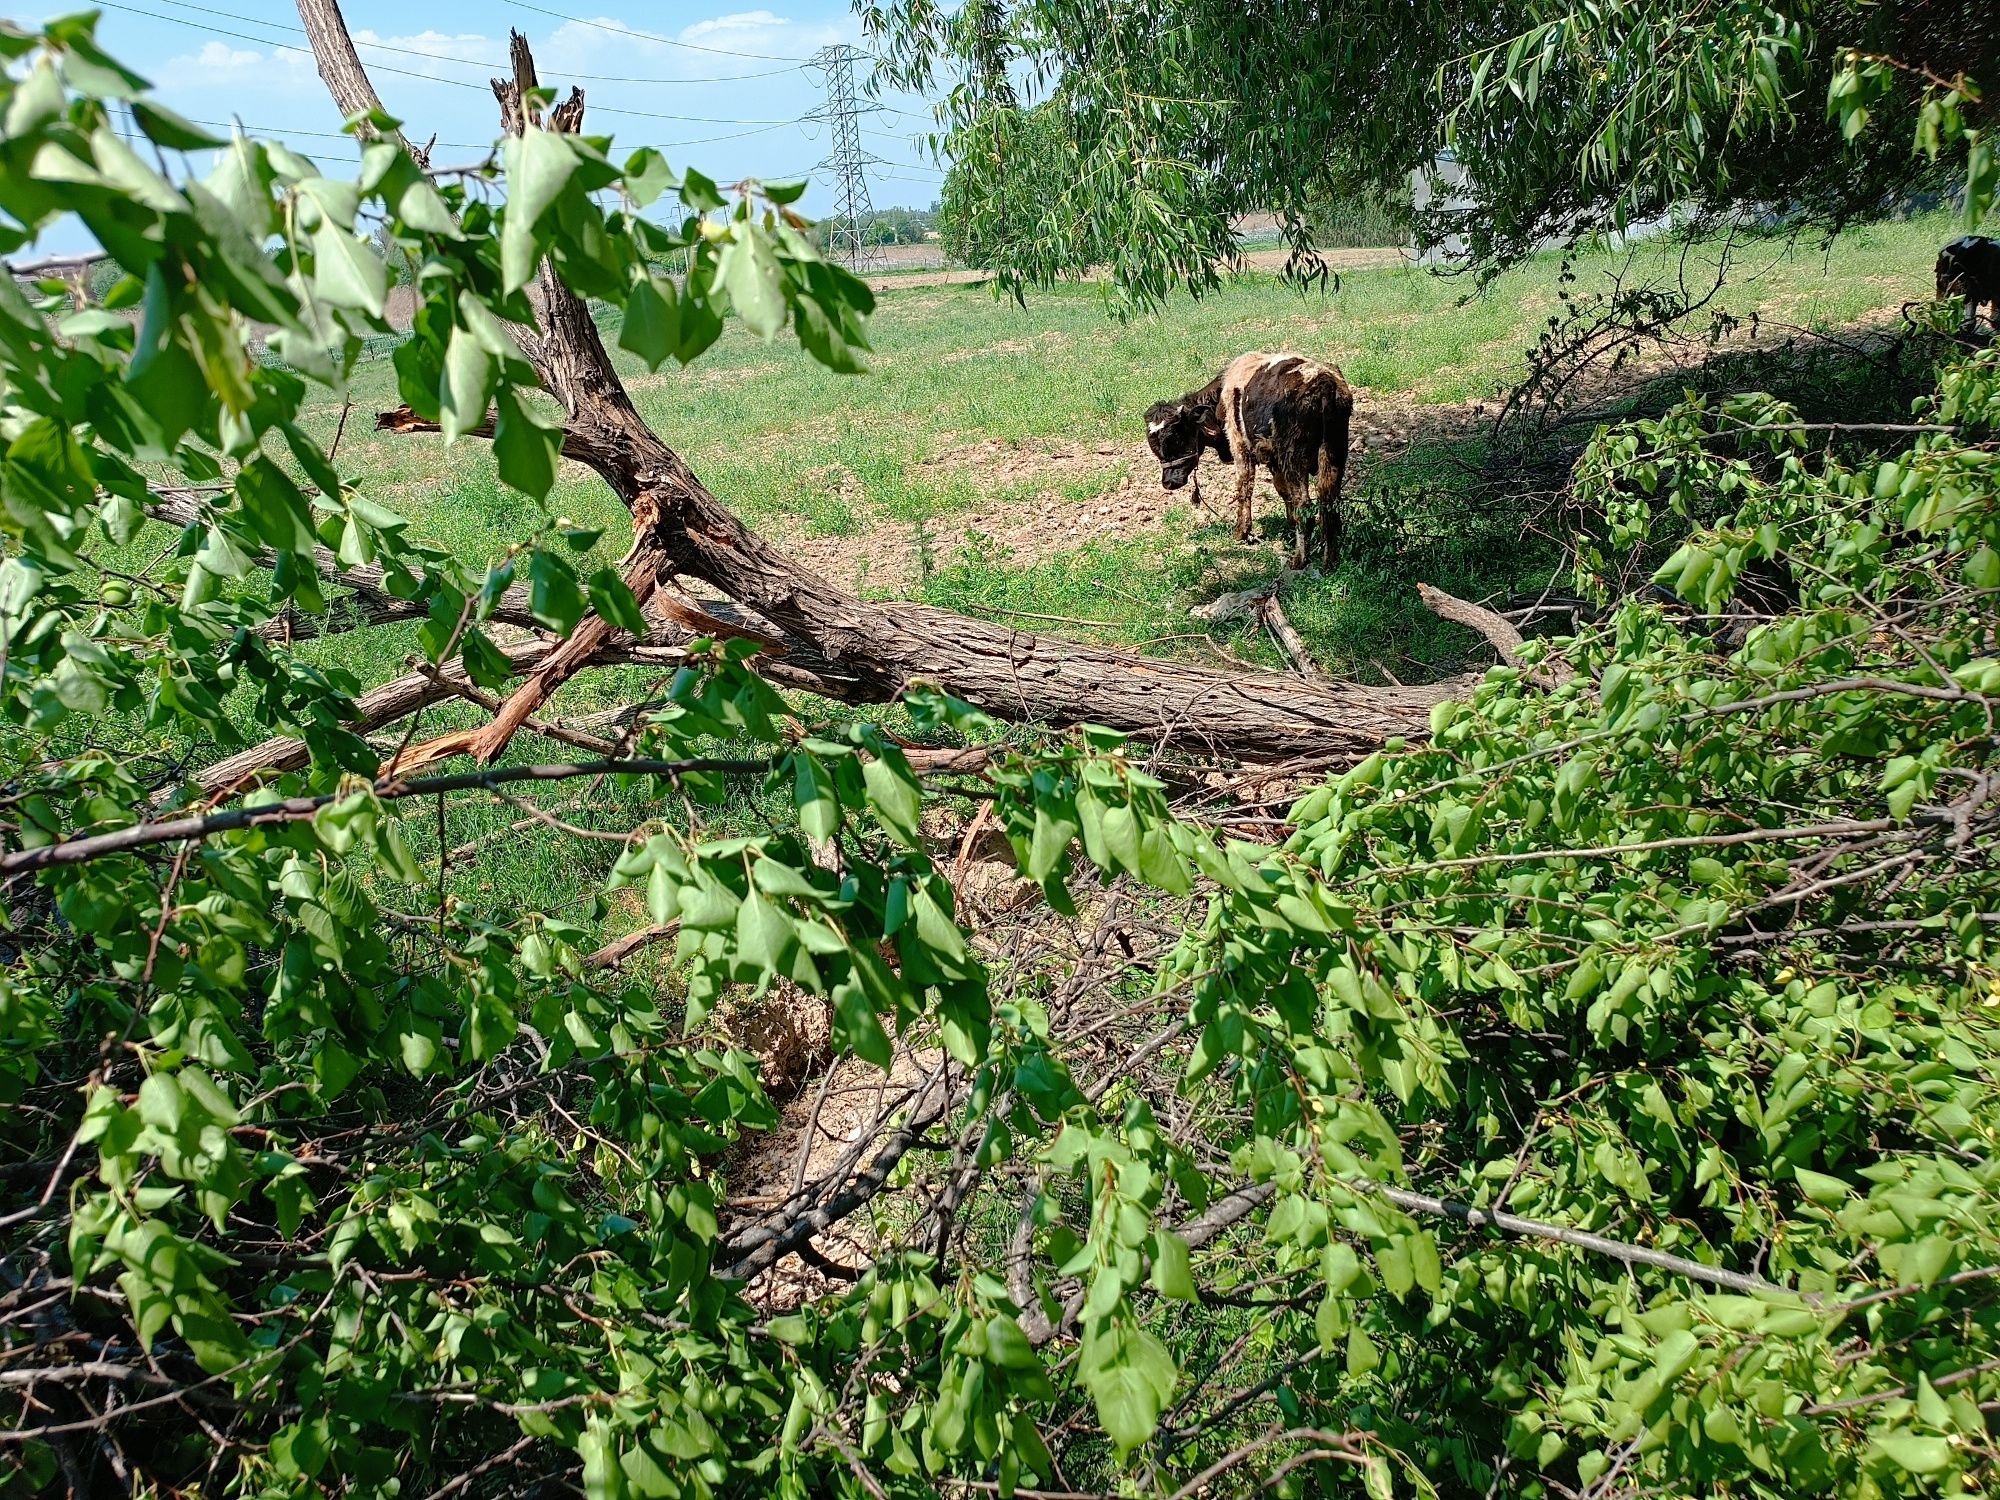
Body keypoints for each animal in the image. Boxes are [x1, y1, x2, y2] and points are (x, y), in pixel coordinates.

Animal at [1144, 352, 1360, 568]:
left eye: (1175, 437)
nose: (1168, 482)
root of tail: (1324, 384)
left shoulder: (1241, 448)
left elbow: (1244, 487)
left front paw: (1241, 532)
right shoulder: (1275, 461)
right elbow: (1283, 492)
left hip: (1294, 458)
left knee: (1305, 505)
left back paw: (1299, 560)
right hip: (1333, 452)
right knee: (1329, 502)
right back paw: (1329, 561)